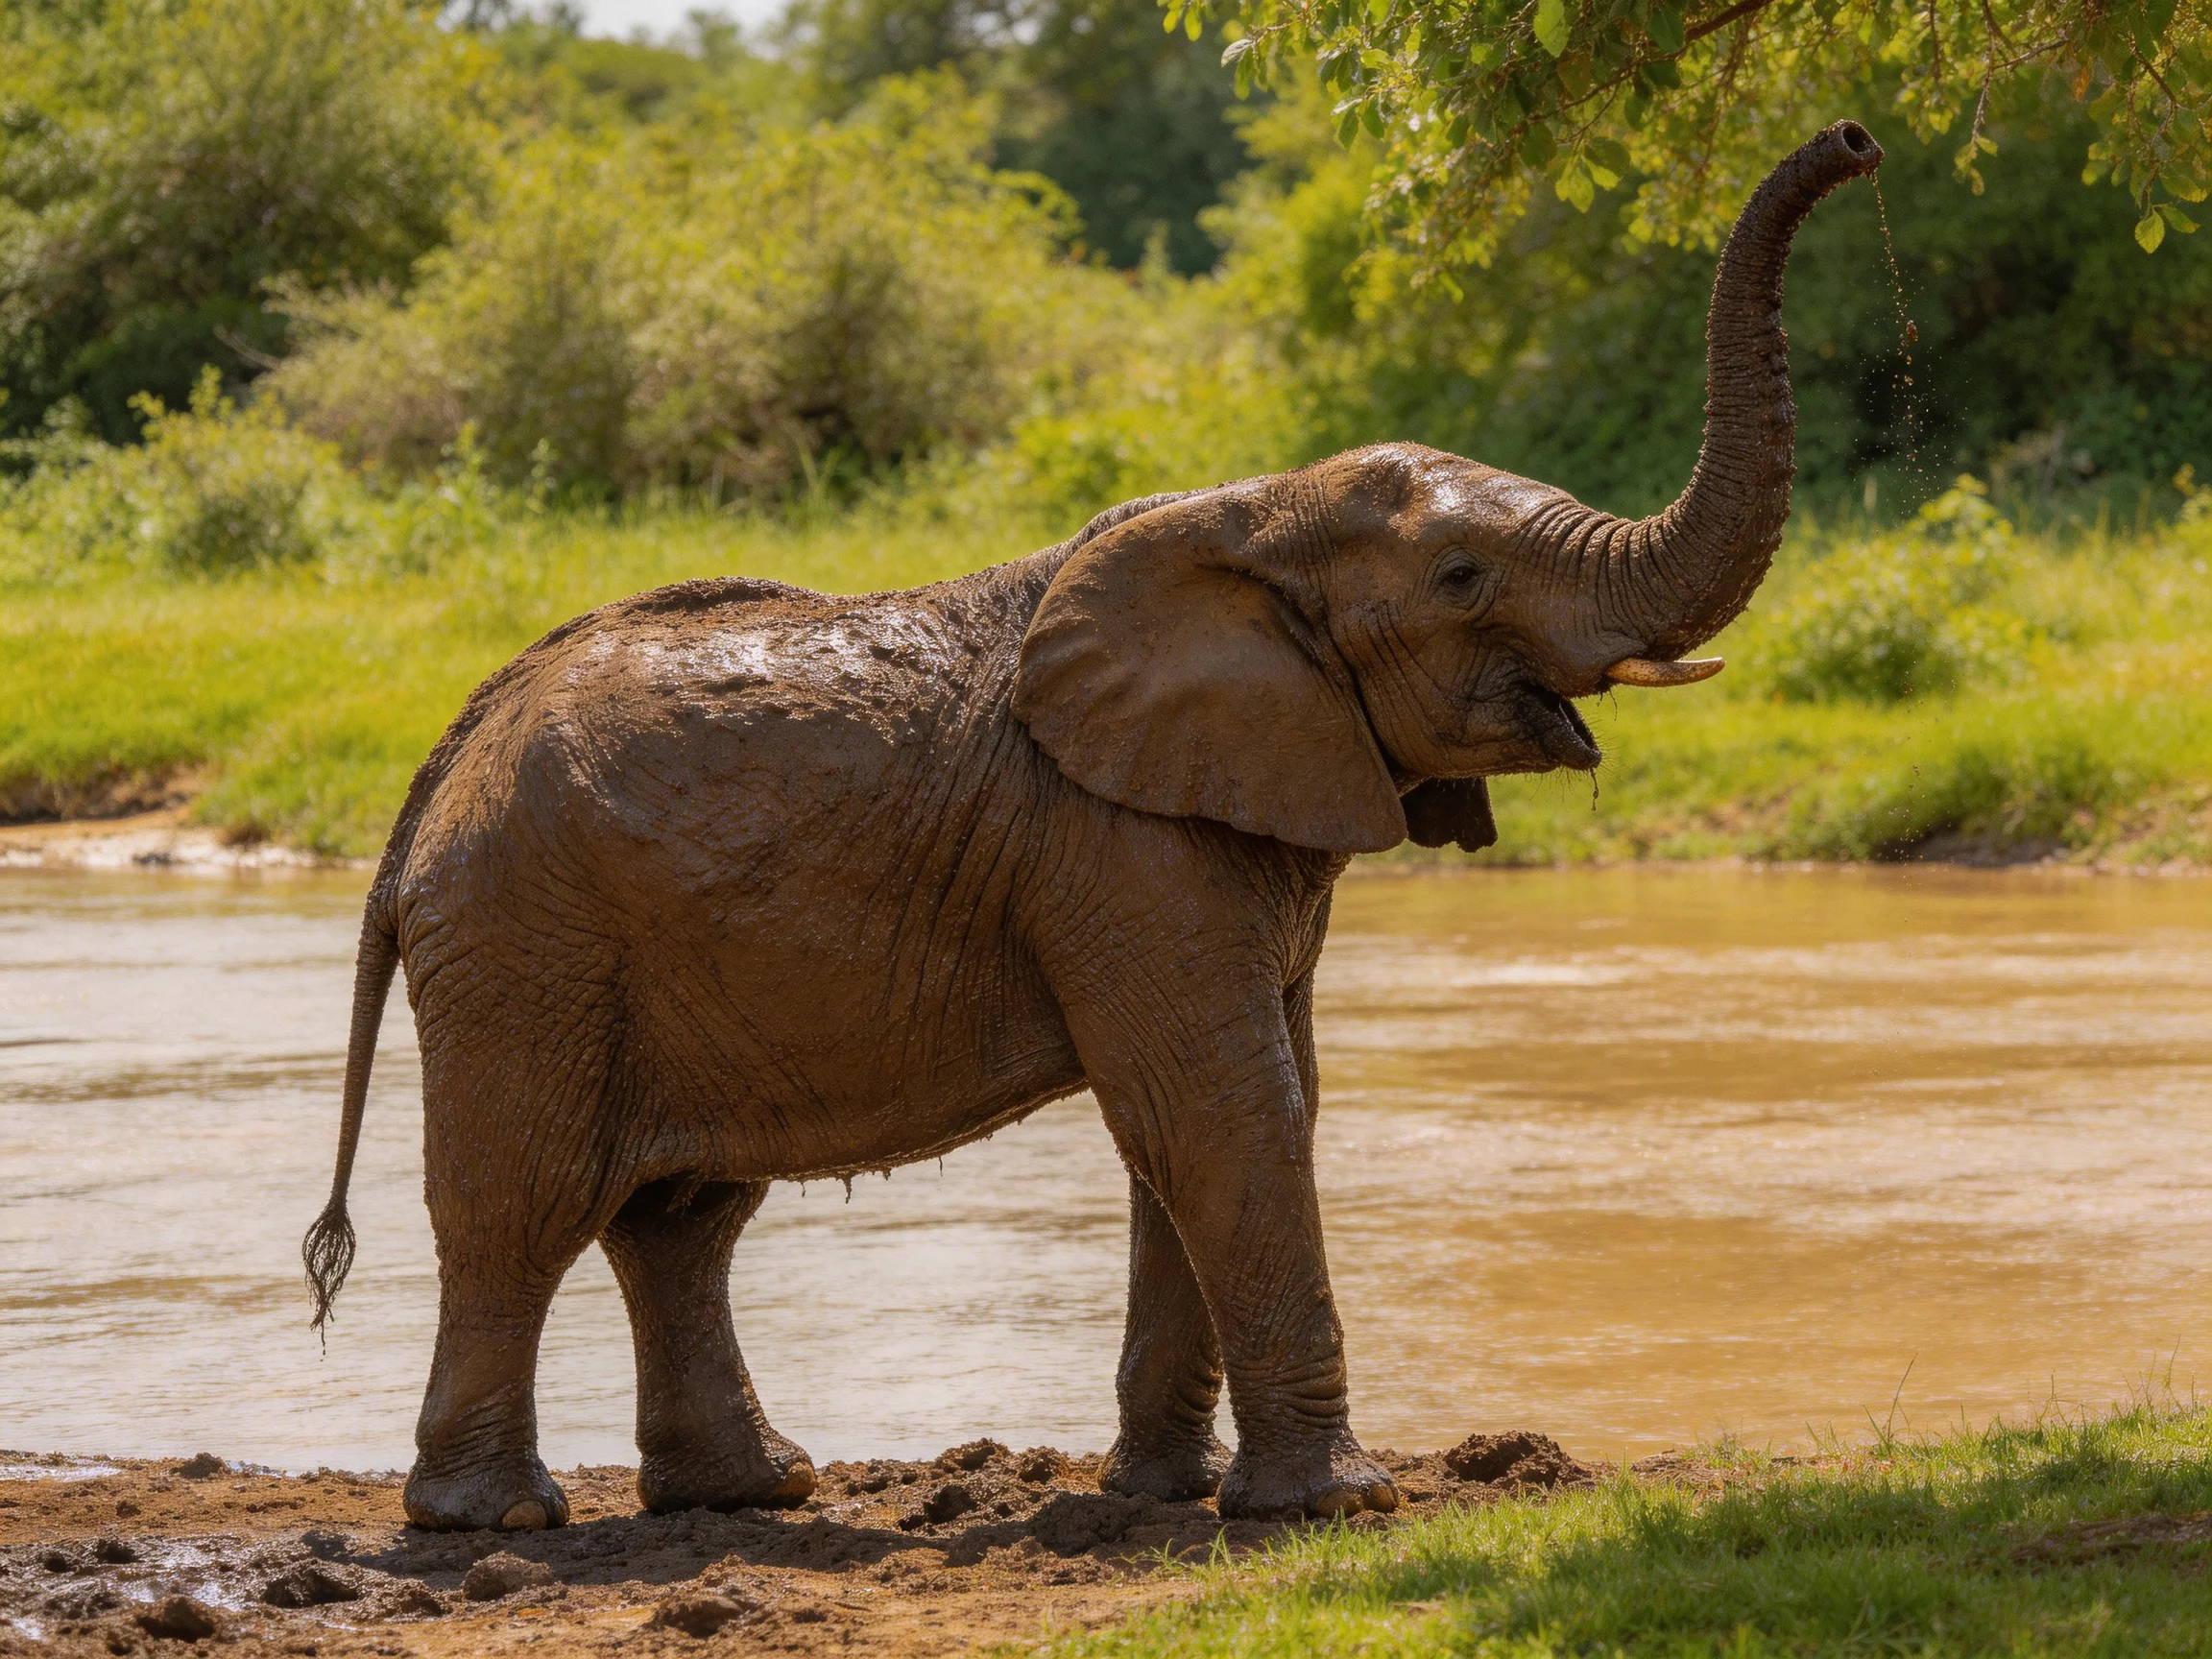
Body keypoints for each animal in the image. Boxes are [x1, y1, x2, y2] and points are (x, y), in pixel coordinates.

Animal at [303, 120, 1881, 1530]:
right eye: (1460, 575)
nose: (1859, 143)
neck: (1252, 512)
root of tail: (441, 774)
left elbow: (1222, 1116)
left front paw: (1162, 1494)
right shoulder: (1121, 843)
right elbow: (1227, 1109)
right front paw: (1337, 1506)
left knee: (683, 1218)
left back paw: (754, 1494)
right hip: (528, 942)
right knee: (527, 1203)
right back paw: (496, 1521)